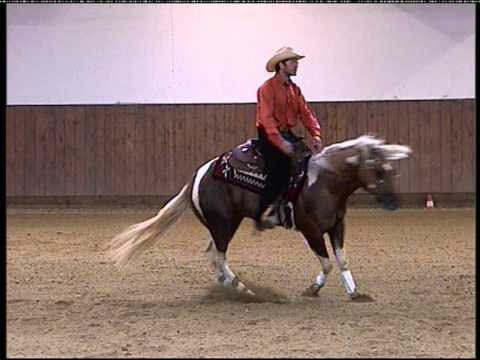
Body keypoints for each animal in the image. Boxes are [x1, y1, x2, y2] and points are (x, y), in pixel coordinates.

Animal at [109, 134, 412, 298]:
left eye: (392, 170)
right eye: (379, 170)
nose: (393, 203)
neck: (323, 182)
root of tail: (199, 174)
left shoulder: (337, 226)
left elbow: (342, 260)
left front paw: (354, 292)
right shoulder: (311, 231)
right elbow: (326, 264)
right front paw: (312, 289)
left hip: (219, 225)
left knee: (213, 256)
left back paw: (228, 289)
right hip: (224, 224)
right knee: (219, 256)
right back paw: (243, 290)